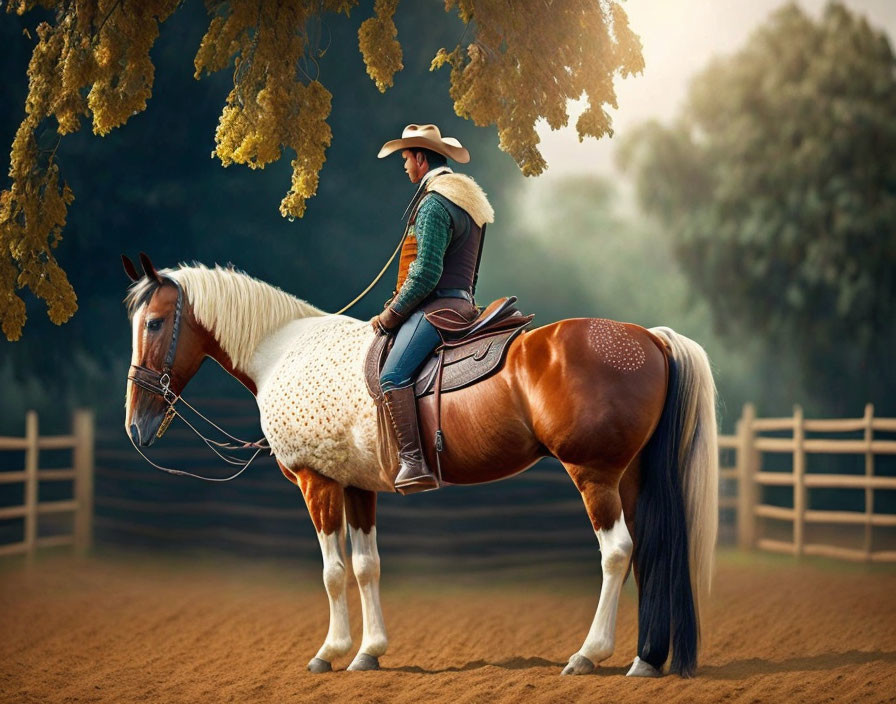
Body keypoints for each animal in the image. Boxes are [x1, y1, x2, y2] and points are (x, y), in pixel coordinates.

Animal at [121, 256, 720, 680]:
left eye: (154, 323)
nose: (136, 424)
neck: (283, 352)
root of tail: (649, 338)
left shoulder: (319, 484)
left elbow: (333, 571)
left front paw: (330, 651)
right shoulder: (358, 488)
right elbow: (366, 567)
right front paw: (369, 652)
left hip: (593, 475)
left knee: (617, 552)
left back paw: (589, 654)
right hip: (630, 477)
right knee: (649, 550)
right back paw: (646, 660)